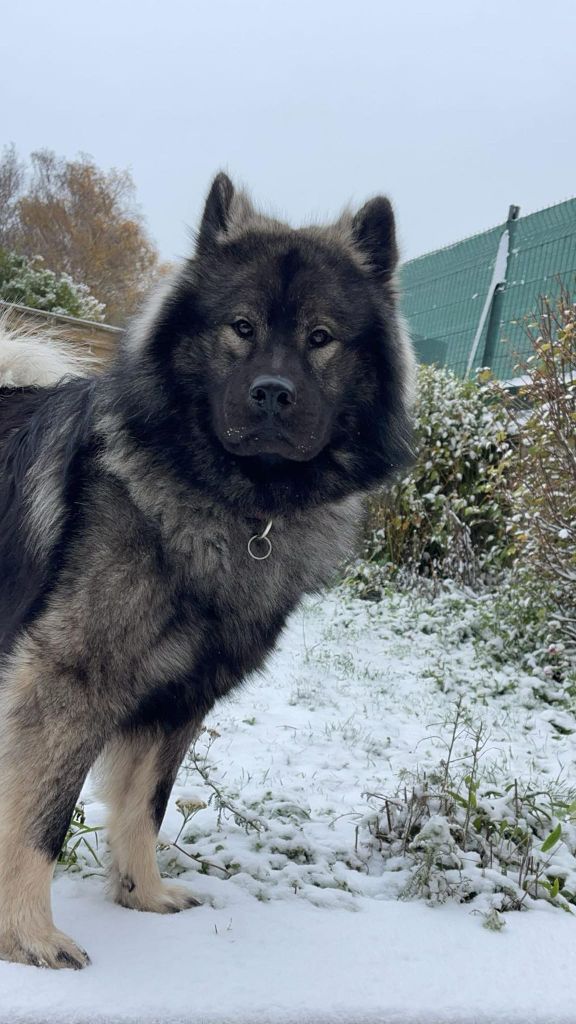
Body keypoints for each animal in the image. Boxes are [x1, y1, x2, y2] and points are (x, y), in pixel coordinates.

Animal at [0, 173, 414, 969]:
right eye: (241, 327)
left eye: (320, 338)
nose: (273, 393)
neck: (231, 501)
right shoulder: (67, 684)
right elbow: (38, 818)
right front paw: (28, 935)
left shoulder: (181, 698)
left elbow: (145, 804)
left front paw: (143, 895)